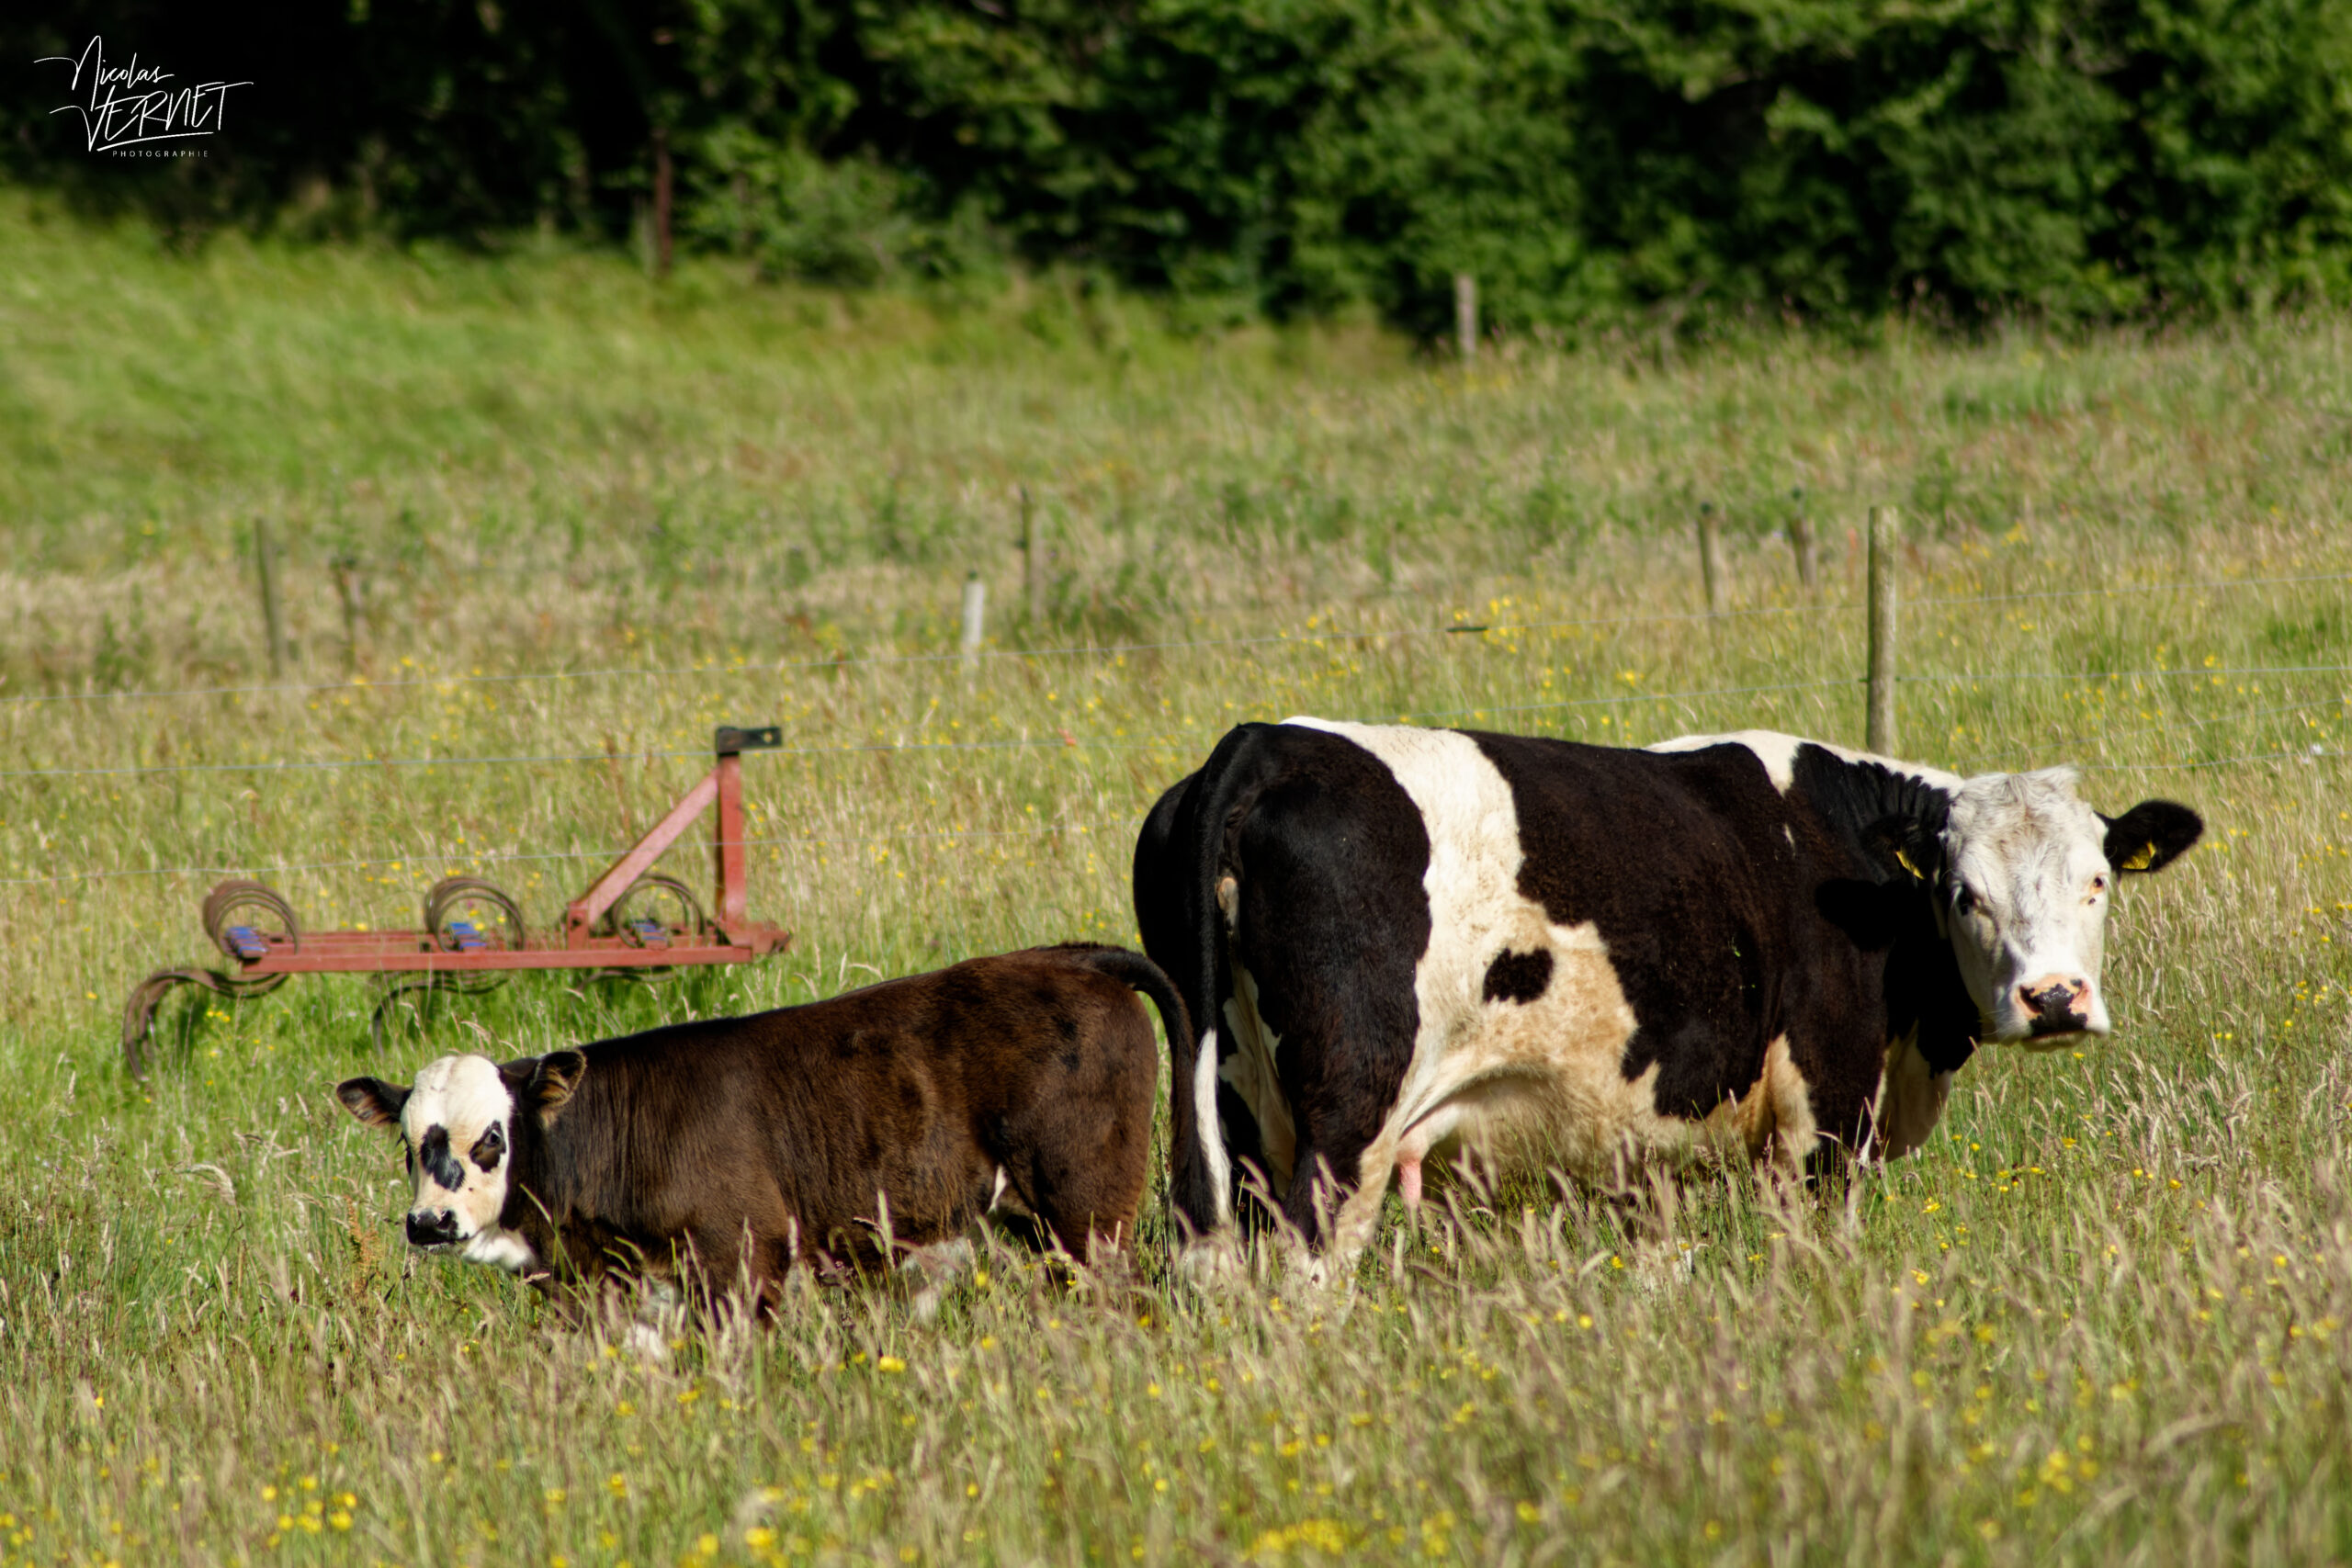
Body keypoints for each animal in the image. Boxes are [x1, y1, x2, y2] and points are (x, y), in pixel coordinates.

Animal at [334, 943, 1184, 1317]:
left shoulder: (742, 1259)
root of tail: (1066, 958)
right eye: (410, 1145)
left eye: (491, 1138)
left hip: (1089, 1214)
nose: (429, 1222)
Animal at [1133, 721, 2203, 1269]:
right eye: (1961, 893)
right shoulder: (1823, 1118)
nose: (2054, 998)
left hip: (1230, 1118)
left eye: (2096, 880)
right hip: (1347, 1118)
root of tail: (1264, 743)